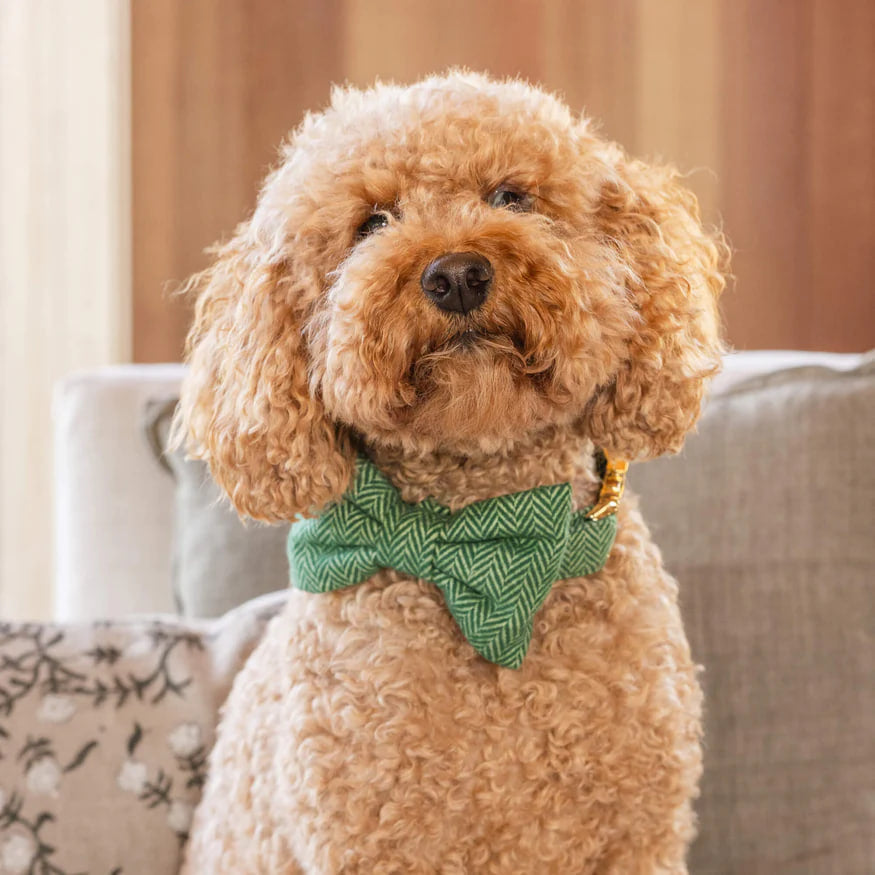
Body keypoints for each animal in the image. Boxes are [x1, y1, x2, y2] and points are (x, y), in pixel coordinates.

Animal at [176, 70, 724, 875]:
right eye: (372, 222)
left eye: (511, 196)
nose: (458, 274)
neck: (478, 539)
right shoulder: (368, 843)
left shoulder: (640, 839)